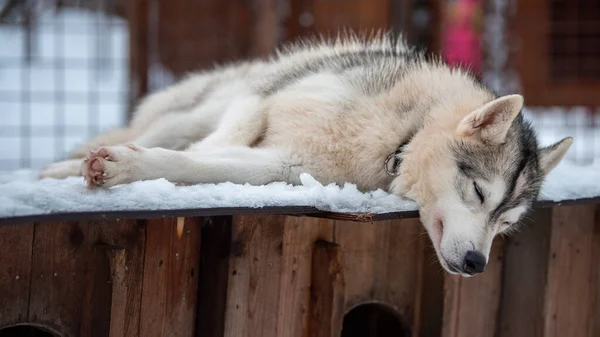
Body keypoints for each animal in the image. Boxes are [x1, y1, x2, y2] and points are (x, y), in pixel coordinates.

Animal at [41, 32, 572, 276]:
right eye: (479, 193)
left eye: (505, 225)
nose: (477, 264)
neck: (398, 137)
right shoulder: (258, 101)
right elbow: (201, 151)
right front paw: (127, 164)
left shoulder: (287, 164)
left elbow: (207, 161)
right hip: (199, 109)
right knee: (167, 133)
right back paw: (59, 167)